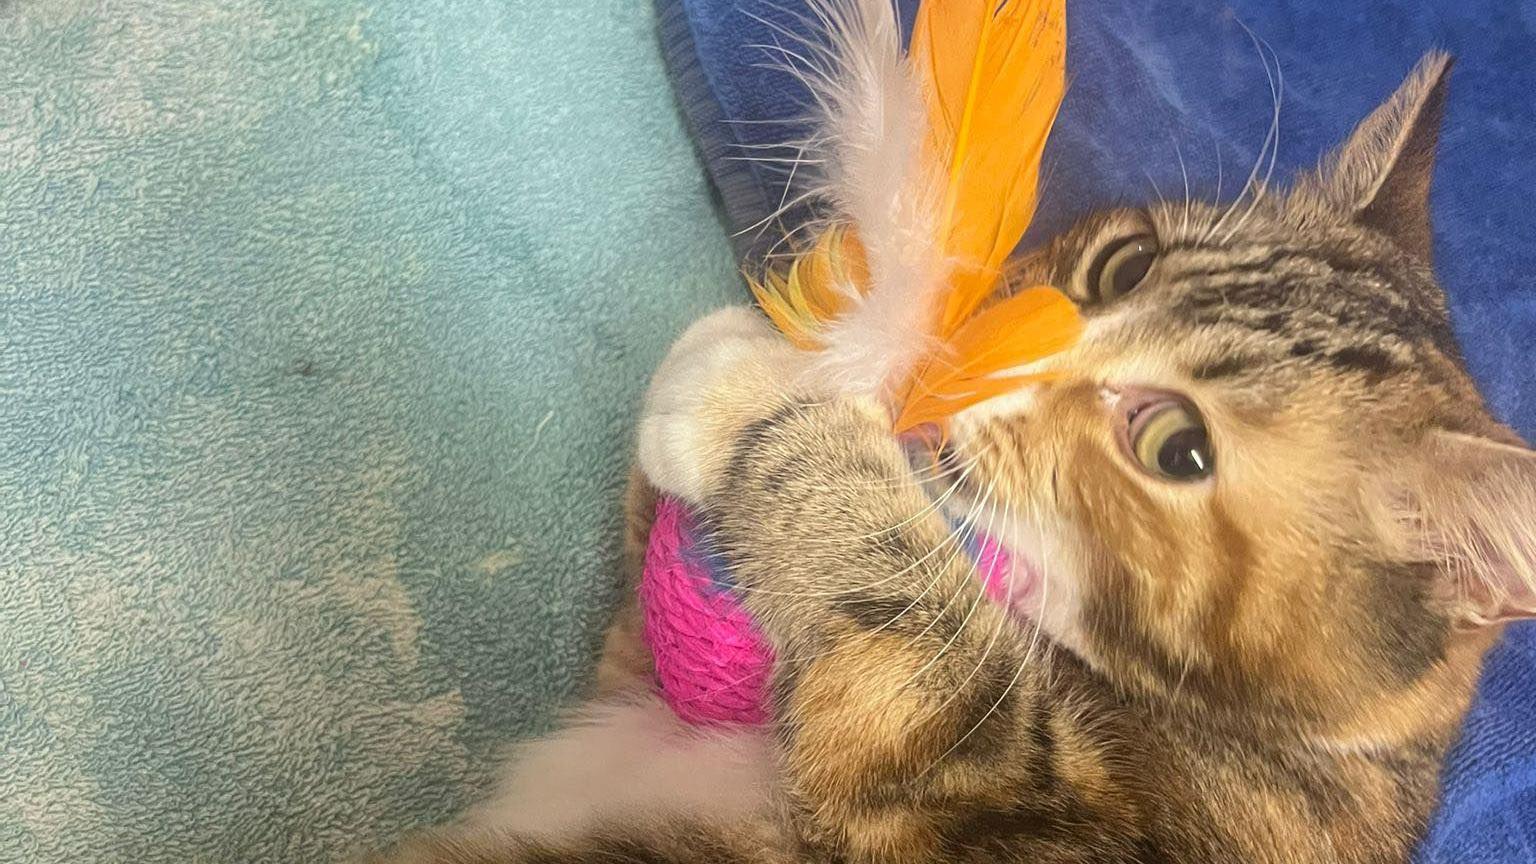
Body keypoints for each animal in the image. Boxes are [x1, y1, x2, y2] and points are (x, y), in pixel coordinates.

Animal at [377, 52, 1536, 860]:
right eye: (1124, 264)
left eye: (1176, 446)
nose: (976, 369)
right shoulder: (623, 671)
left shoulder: (1015, 821)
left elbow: (923, 665)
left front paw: (768, 394)